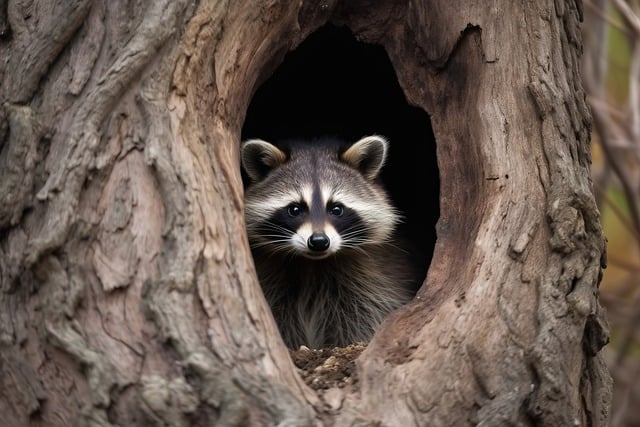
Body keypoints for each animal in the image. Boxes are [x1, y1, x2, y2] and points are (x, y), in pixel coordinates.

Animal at [242, 135, 418, 350]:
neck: (311, 264)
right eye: (295, 209)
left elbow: (364, 314)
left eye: (336, 209)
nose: (318, 242)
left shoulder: (374, 276)